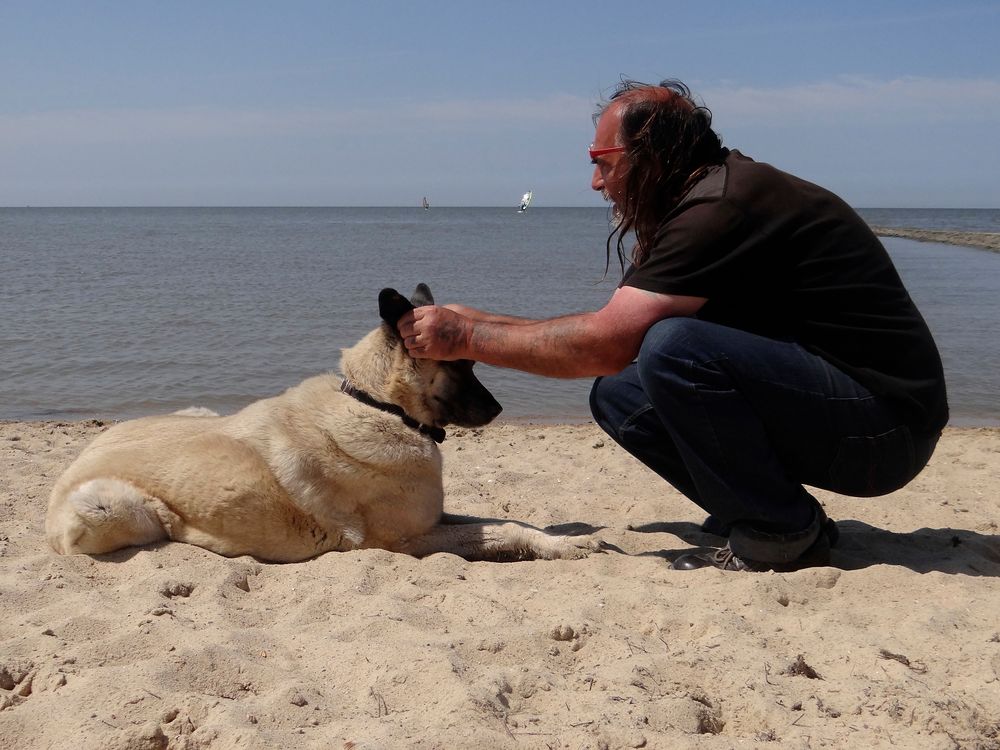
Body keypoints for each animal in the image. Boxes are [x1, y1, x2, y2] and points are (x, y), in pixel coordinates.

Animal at [45, 286, 600, 564]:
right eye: (462, 365)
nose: (500, 411)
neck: (380, 406)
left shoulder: (437, 517)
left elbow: (514, 522)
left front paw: (564, 539)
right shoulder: (405, 543)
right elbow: (504, 529)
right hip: (110, 507)